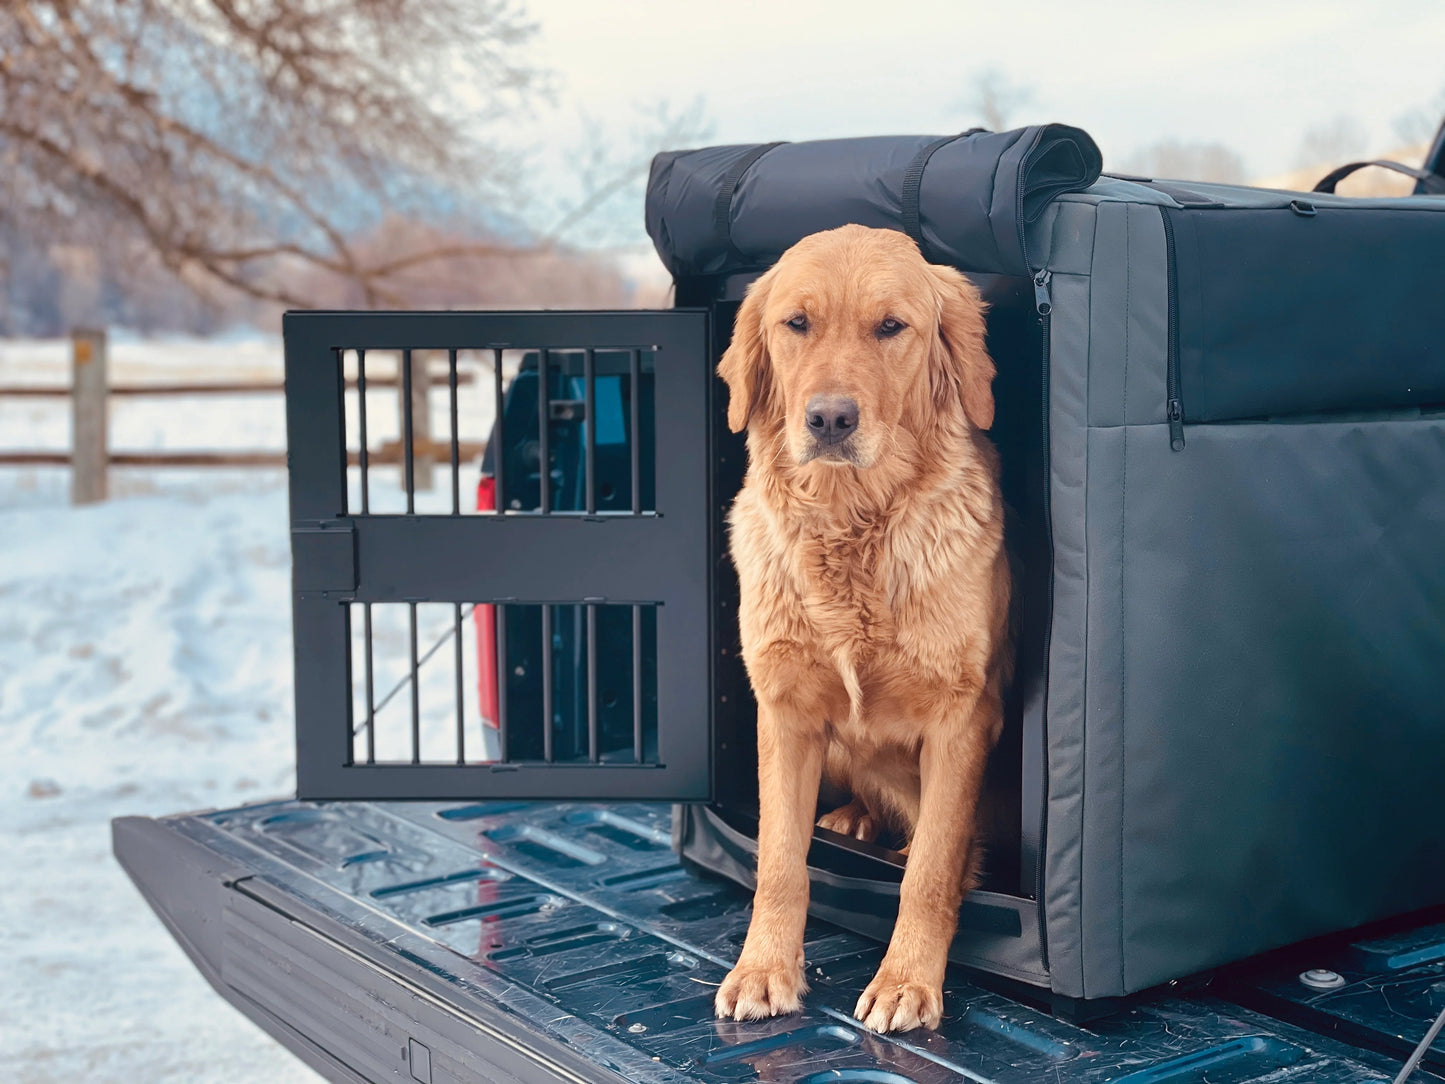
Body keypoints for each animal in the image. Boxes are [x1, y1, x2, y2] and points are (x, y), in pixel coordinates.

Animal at [708, 222, 1005, 1034]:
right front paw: (763, 970)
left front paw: (906, 981)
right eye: (796, 323)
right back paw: (852, 822)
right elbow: (779, 862)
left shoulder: (962, 718)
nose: (830, 419)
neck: (848, 525)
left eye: (891, 327)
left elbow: (930, 870)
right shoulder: (783, 711)